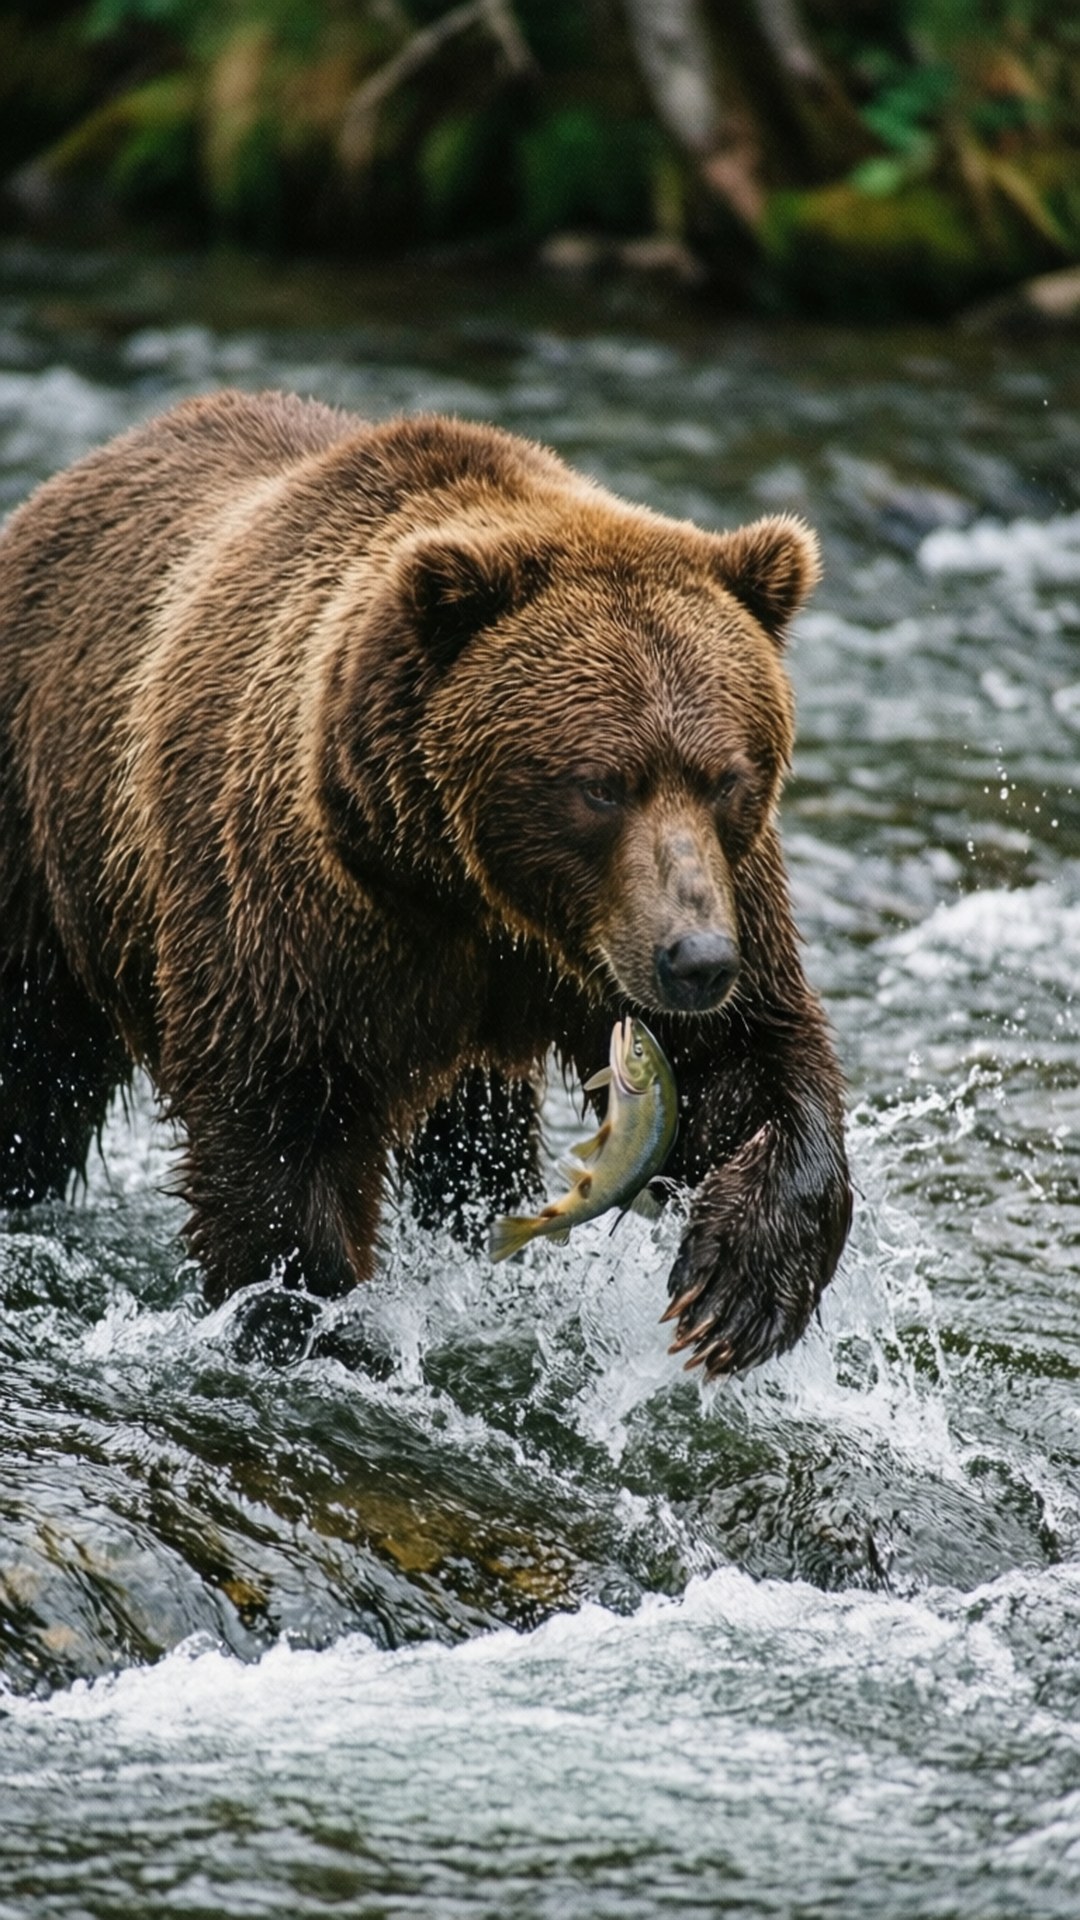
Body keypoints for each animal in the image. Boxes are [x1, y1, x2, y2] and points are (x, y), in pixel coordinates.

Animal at [0, 390, 851, 1377]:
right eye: (601, 784)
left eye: (727, 777)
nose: (695, 960)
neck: (473, 889)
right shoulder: (296, 912)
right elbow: (277, 1128)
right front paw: (321, 1322)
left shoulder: (699, 898)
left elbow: (753, 1058)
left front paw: (739, 1286)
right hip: (38, 844)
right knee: (30, 1082)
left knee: (474, 1141)